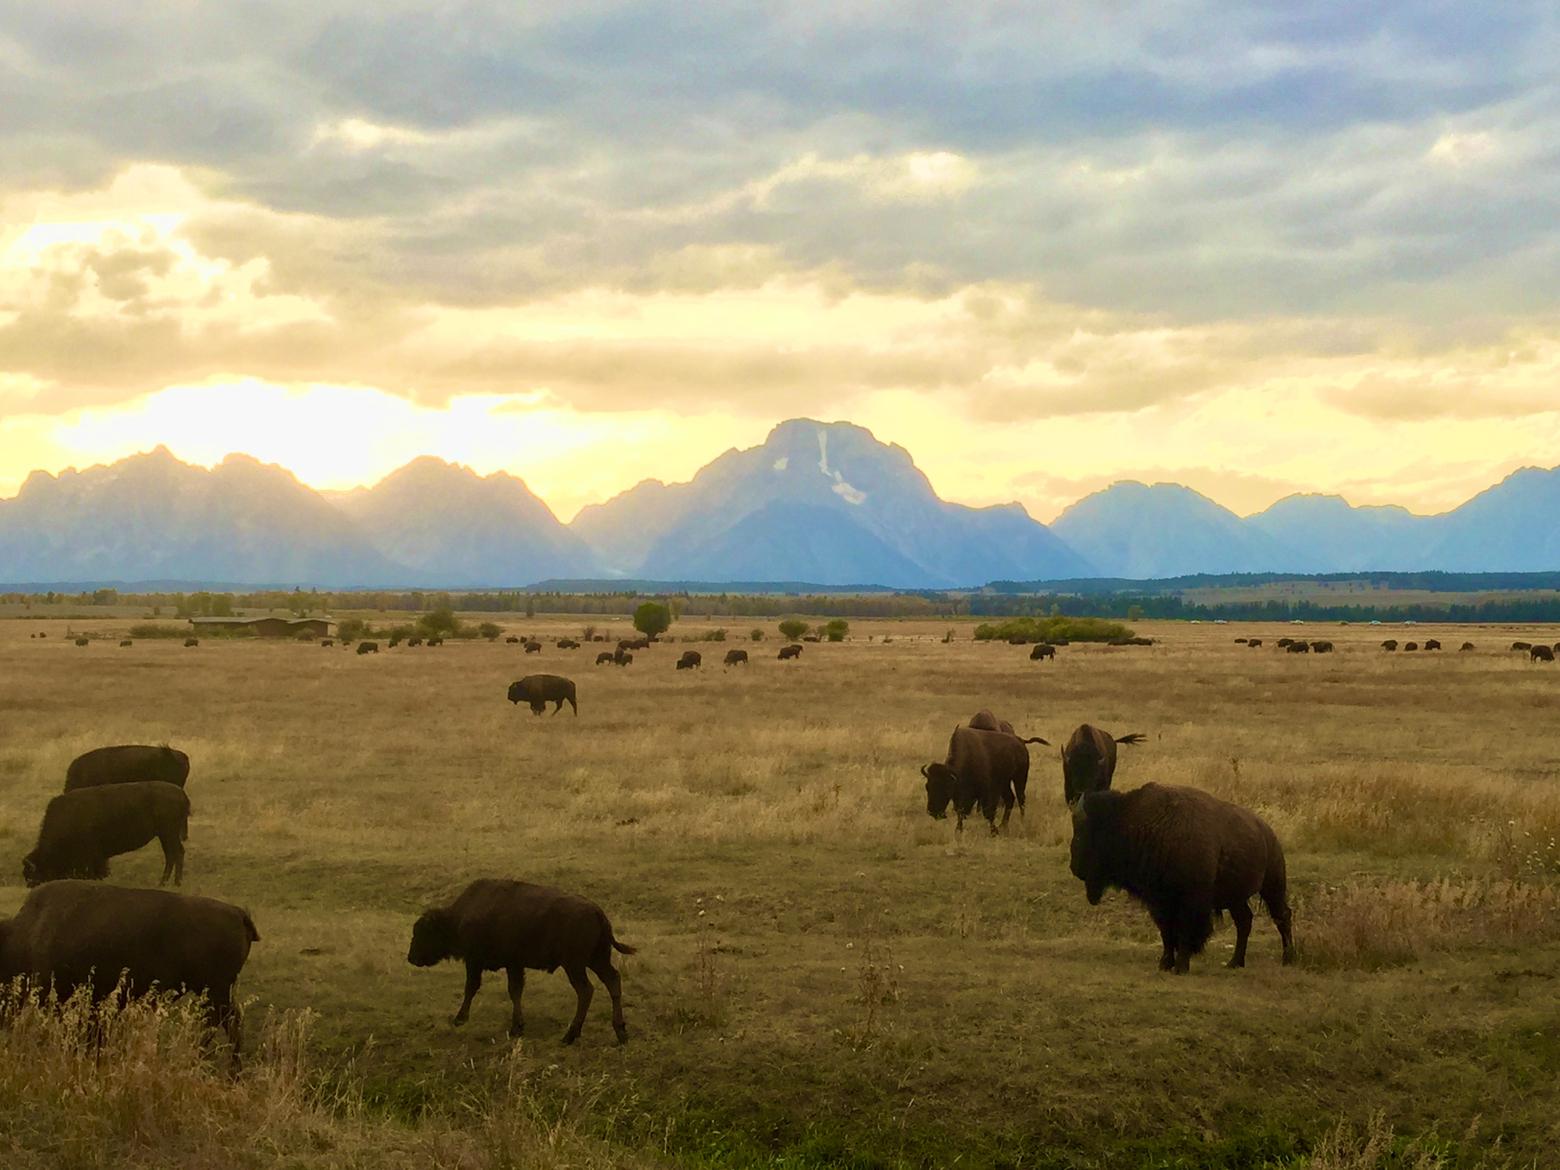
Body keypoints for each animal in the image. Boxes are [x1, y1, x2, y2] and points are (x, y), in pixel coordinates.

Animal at [23, 783, 190, 886]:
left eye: (34, 874)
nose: (31, 886)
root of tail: (181, 794)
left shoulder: (92, 854)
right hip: (166, 835)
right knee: (175, 854)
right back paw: (171, 882)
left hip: (168, 833)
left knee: (175, 854)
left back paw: (168, 883)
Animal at [411, 879, 642, 1042]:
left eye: (423, 933)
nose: (411, 957)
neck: (458, 918)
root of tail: (598, 913)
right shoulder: (514, 965)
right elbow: (515, 991)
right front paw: (517, 1027)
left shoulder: (475, 961)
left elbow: (472, 987)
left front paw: (460, 1019)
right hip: (596, 960)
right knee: (612, 981)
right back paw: (620, 1033)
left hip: (575, 965)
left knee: (586, 990)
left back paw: (570, 1036)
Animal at [1067, 783, 1297, 973]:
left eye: (1080, 834)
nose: (1074, 867)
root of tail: (1268, 833)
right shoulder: (1159, 903)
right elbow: (1167, 933)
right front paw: (1165, 964)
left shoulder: (1189, 903)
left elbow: (1184, 932)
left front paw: (1180, 967)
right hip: (1235, 898)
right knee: (1244, 922)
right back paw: (1234, 963)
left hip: (1272, 886)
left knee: (1282, 916)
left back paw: (1288, 959)